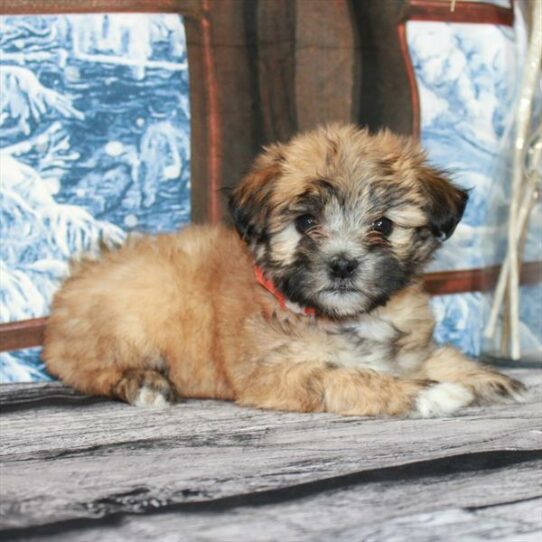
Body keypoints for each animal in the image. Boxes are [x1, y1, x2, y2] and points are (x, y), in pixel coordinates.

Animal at [43, 125, 528, 418]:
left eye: (383, 226)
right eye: (306, 222)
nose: (342, 263)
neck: (341, 317)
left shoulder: (406, 345)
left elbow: (433, 355)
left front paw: (489, 377)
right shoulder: (278, 373)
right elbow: (346, 376)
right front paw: (430, 393)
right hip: (132, 316)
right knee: (96, 372)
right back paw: (145, 384)